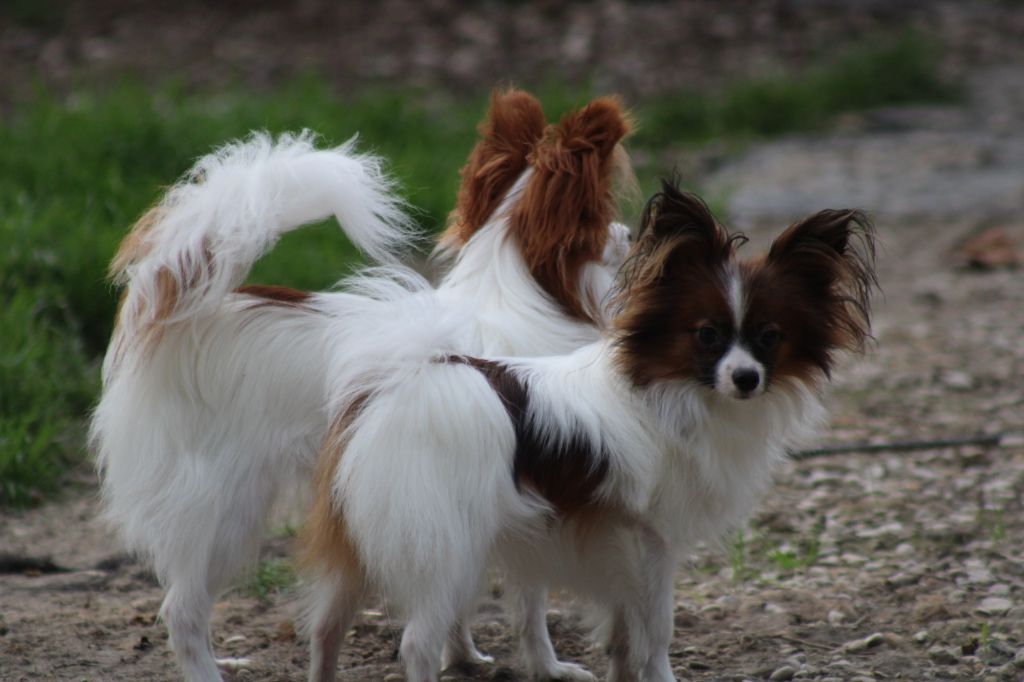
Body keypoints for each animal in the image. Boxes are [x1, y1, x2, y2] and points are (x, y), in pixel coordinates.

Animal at [91, 90, 634, 681]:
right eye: (604, 217)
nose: (631, 234)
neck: (511, 293)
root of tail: (176, 317)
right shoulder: (531, 481)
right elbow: (530, 599)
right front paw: (547, 666)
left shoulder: (466, 504)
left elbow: (458, 597)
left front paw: (461, 655)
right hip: (224, 507)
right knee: (183, 612)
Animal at [301, 179, 878, 682]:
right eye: (707, 335)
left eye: (770, 337)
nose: (746, 378)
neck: (669, 393)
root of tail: (398, 379)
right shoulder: (651, 539)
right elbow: (656, 630)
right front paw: (660, 677)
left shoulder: (612, 541)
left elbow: (623, 633)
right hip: (444, 547)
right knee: (417, 644)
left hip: (367, 545)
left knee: (326, 630)